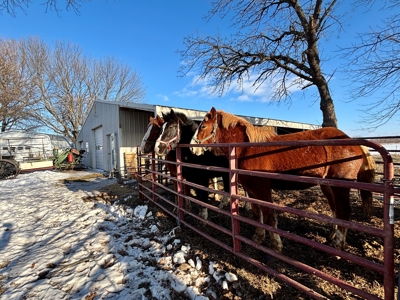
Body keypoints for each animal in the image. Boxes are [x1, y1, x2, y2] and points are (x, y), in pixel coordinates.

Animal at [190, 106, 376, 252]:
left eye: (203, 126)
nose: (192, 148)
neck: (248, 149)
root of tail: (353, 142)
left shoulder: (262, 188)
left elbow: (270, 216)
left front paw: (276, 245)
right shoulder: (251, 189)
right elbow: (257, 213)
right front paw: (258, 237)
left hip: (340, 187)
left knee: (344, 213)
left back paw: (337, 246)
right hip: (328, 186)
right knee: (337, 210)